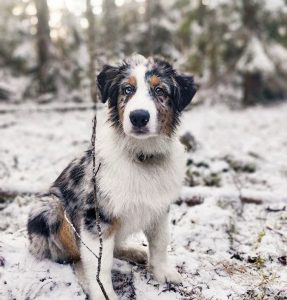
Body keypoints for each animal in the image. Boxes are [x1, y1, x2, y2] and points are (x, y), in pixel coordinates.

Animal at [27, 54, 198, 300]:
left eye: (160, 90)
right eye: (127, 89)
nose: (139, 117)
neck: (142, 156)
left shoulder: (159, 208)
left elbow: (159, 243)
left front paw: (162, 272)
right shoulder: (96, 216)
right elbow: (99, 263)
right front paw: (103, 293)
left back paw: (135, 251)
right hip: (49, 207)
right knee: (73, 257)